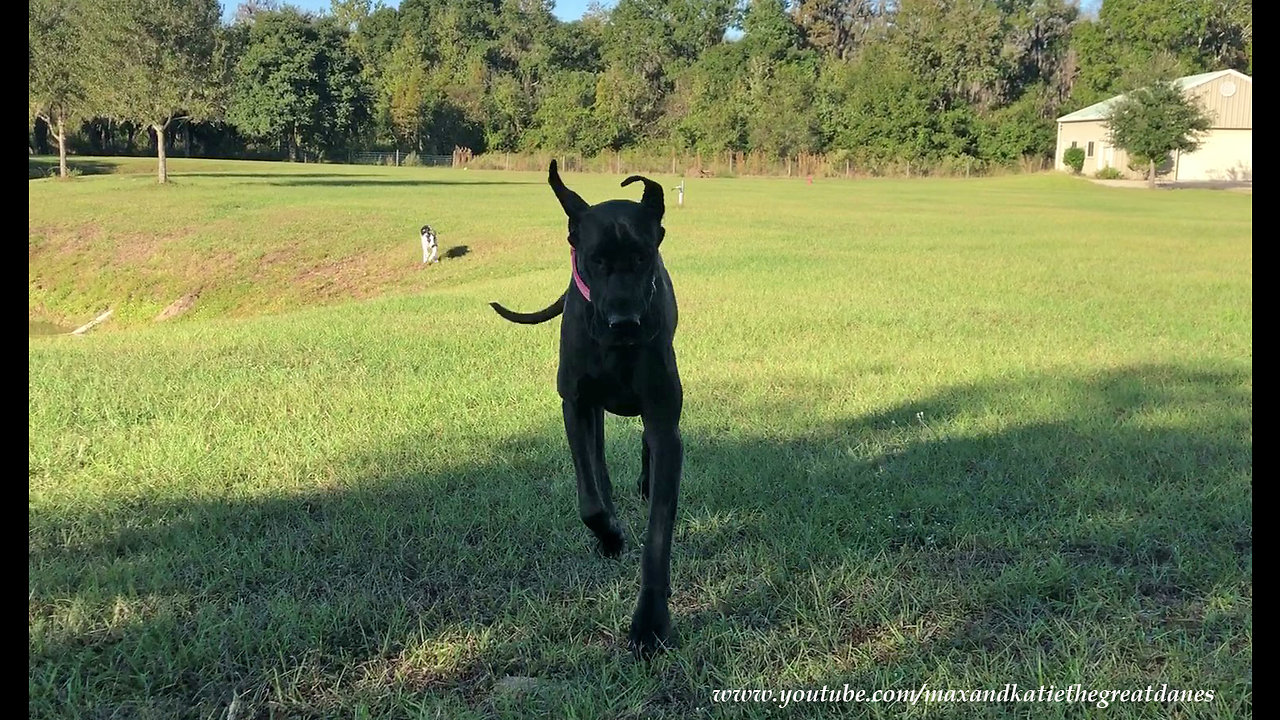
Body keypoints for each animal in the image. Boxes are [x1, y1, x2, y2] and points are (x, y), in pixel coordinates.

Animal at [488, 159, 686, 653]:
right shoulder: (575, 404)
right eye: (595, 260)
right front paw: (611, 535)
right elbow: (590, 499)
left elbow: (658, 530)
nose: (624, 322)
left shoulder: (663, 417)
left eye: (643, 257)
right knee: (598, 464)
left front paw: (650, 622)